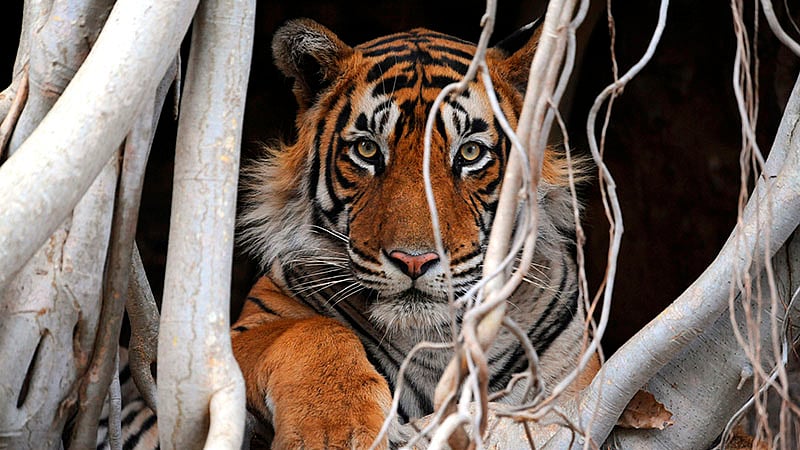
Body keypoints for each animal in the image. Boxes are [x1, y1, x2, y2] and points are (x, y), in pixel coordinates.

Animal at [101, 17, 596, 450]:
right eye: (367, 150)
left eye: (470, 153)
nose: (415, 261)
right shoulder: (224, 345)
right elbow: (311, 332)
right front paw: (334, 431)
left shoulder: (576, 381)